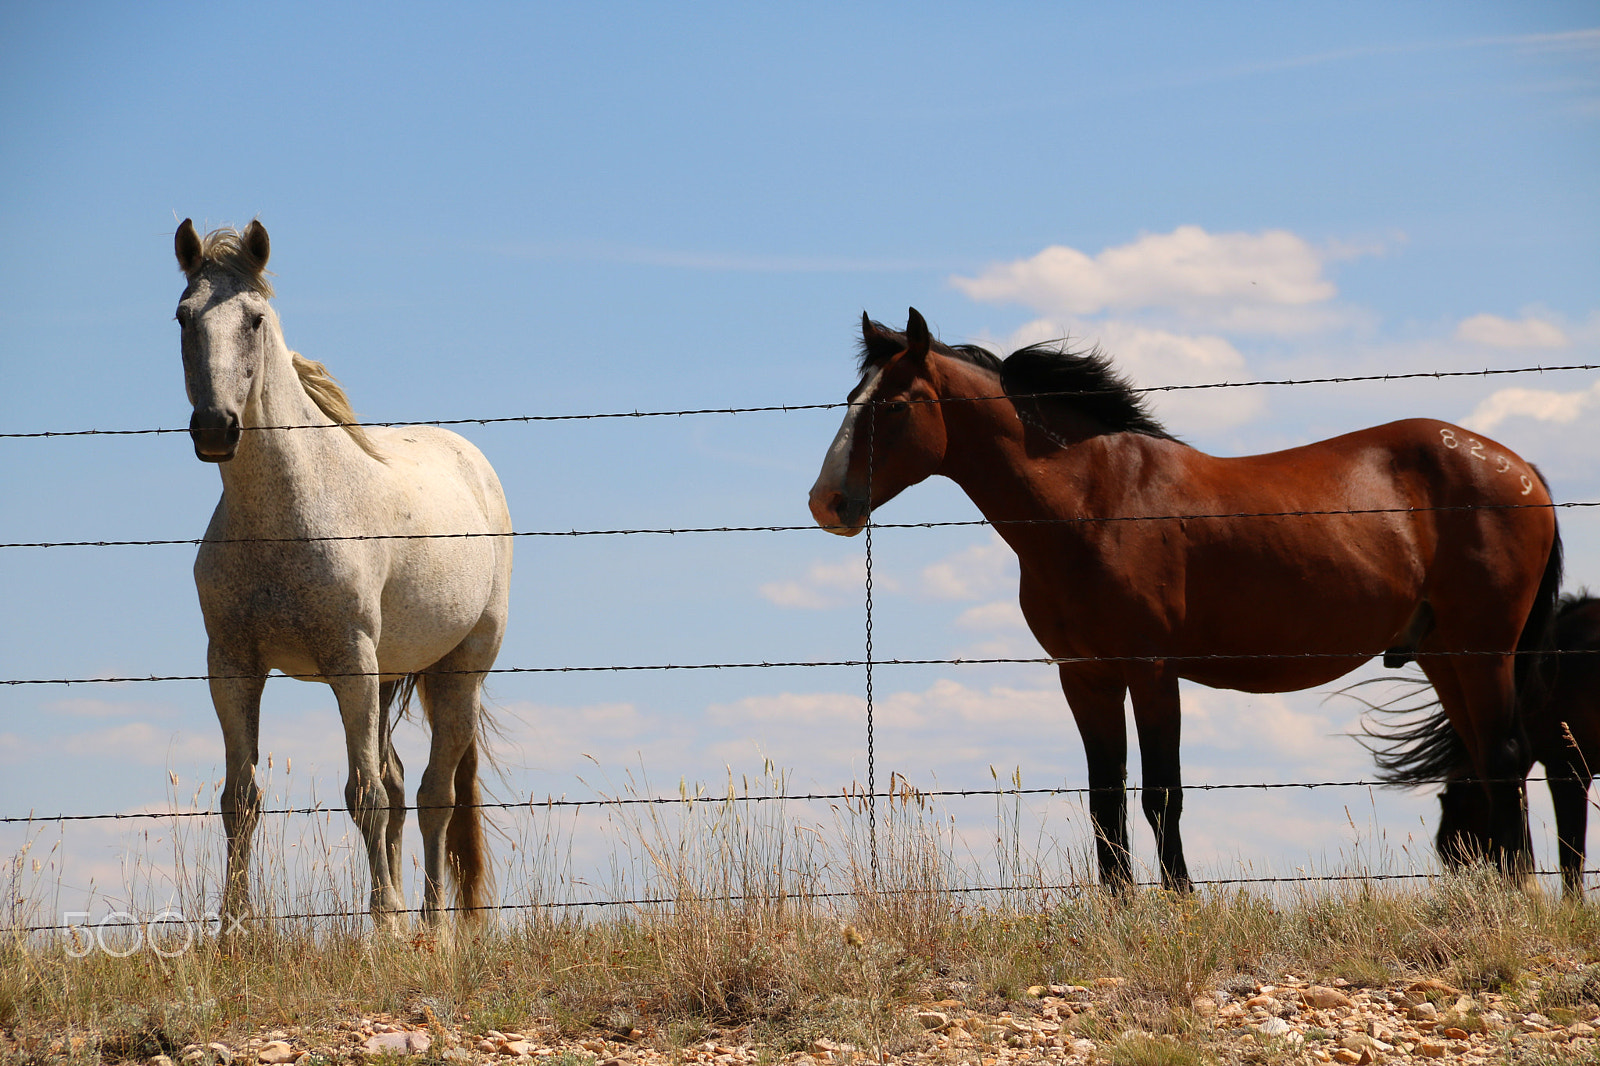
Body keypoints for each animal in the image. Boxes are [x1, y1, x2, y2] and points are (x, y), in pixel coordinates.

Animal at [175, 217, 512, 921]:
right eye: (183, 316)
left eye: (253, 319)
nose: (216, 428)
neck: (286, 514)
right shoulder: (233, 665)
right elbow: (240, 800)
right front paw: (231, 928)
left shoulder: (349, 663)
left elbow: (364, 797)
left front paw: (382, 927)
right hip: (390, 676)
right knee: (404, 786)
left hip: (457, 671)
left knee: (435, 795)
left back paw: (432, 928)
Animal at [806, 308, 1555, 889]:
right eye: (849, 398)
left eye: (894, 405)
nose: (826, 502)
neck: (1094, 501)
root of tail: (1518, 466)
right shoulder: (1086, 677)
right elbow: (1105, 797)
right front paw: (1115, 907)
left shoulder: (1152, 671)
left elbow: (1161, 793)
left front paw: (1180, 899)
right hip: (1445, 653)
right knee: (1487, 761)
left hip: (1484, 648)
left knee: (1505, 756)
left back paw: (1518, 893)